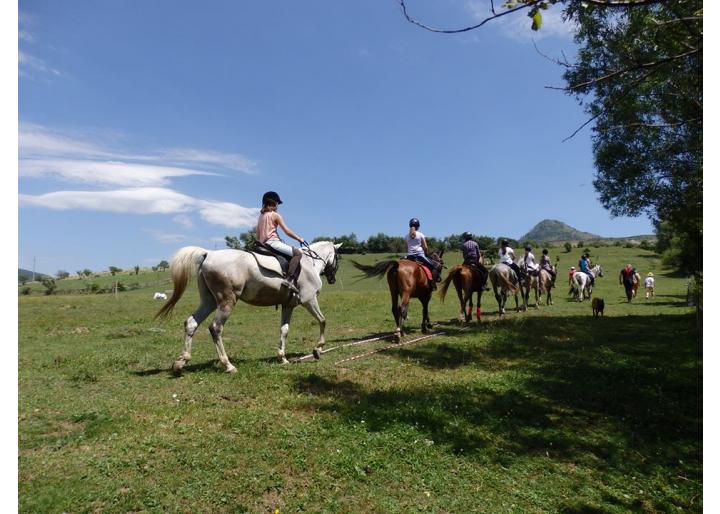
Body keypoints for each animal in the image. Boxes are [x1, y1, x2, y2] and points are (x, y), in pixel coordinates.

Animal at [155, 240, 340, 368]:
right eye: (338, 258)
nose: (332, 279)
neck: (310, 263)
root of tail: (209, 254)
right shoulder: (309, 300)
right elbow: (323, 321)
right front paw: (318, 349)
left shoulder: (288, 306)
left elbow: (284, 330)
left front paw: (282, 358)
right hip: (227, 301)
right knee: (215, 328)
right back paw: (228, 365)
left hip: (209, 302)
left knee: (192, 323)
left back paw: (181, 362)